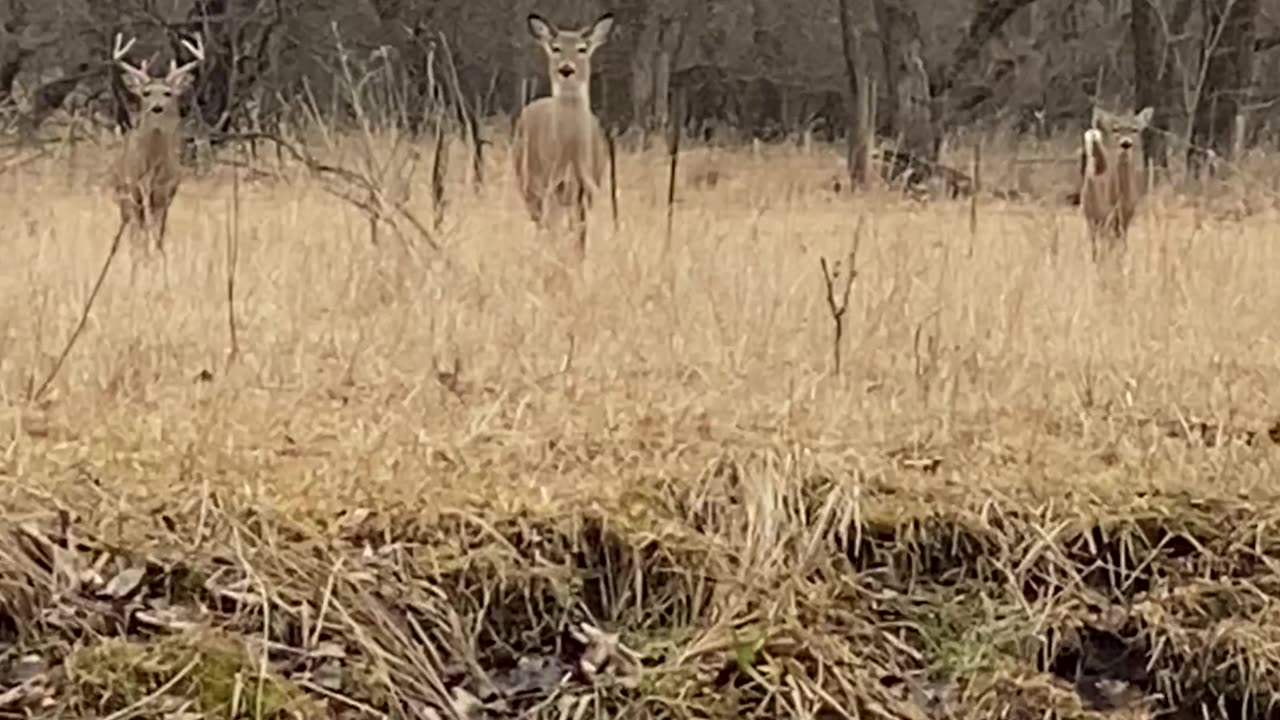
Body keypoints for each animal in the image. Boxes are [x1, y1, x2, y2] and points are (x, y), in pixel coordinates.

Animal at [112, 31, 204, 260]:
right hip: (123, 194)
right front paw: (143, 255)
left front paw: (157, 254)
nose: (157, 107)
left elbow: (158, 229)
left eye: (168, 93)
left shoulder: (165, 192)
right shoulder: (136, 188)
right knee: (133, 227)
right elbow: (141, 231)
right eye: (146, 93)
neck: (152, 165)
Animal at [509, 12, 614, 256]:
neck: (571, 152)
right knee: (541, 224)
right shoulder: (551, 185)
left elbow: (580, 236)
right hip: (528, 184)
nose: (566, 69)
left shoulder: (587, 187)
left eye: (582, 48)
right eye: (555, 48)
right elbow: (554, 232)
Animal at [1075, 105, 1157, 262]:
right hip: (1090, 211)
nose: (1126, 144)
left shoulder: (1127, 214)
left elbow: (1122, 242)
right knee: (1096, 240)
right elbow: (1108, 242)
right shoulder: (1105, 214)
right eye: (1115, 129)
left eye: (1135, 129)